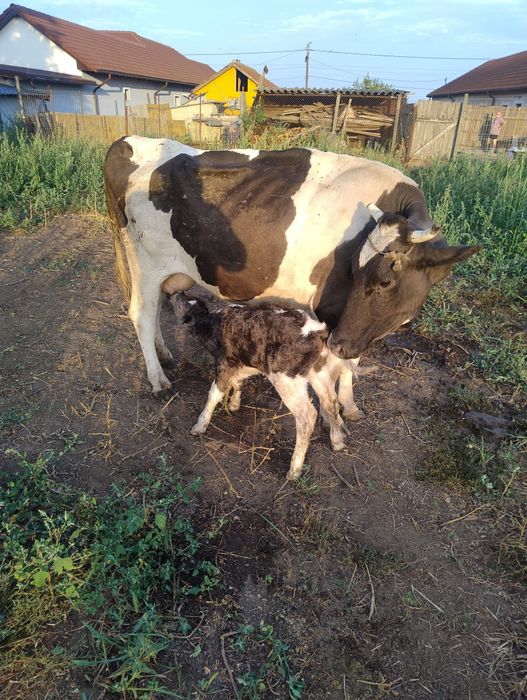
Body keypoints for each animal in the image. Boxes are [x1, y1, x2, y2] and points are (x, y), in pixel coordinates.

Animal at [104, 136, 479, 413]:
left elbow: (352, 362)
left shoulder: (354, 325)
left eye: (384, 280)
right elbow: (340, 366)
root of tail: (130, 141)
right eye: (355, 270)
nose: (338, 342)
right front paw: (336, 407)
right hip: (146, 262)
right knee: (141, 313)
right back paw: (157, 379)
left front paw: (349, 405)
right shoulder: (333, 310)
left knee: (155, 311)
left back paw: (166, 355)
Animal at [170, 293, 350, 480]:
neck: (211, 323)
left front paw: (200, 425)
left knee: (307, 416)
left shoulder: (224, 363)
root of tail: (317, 330)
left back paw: (294, 470)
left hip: (286, 380)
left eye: (181, 304)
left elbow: (214, 393)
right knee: (331, 402)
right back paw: (337, 442)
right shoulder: (242, 362)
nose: (176, 293)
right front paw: (234, 404)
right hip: (319, 373)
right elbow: (237, 382)